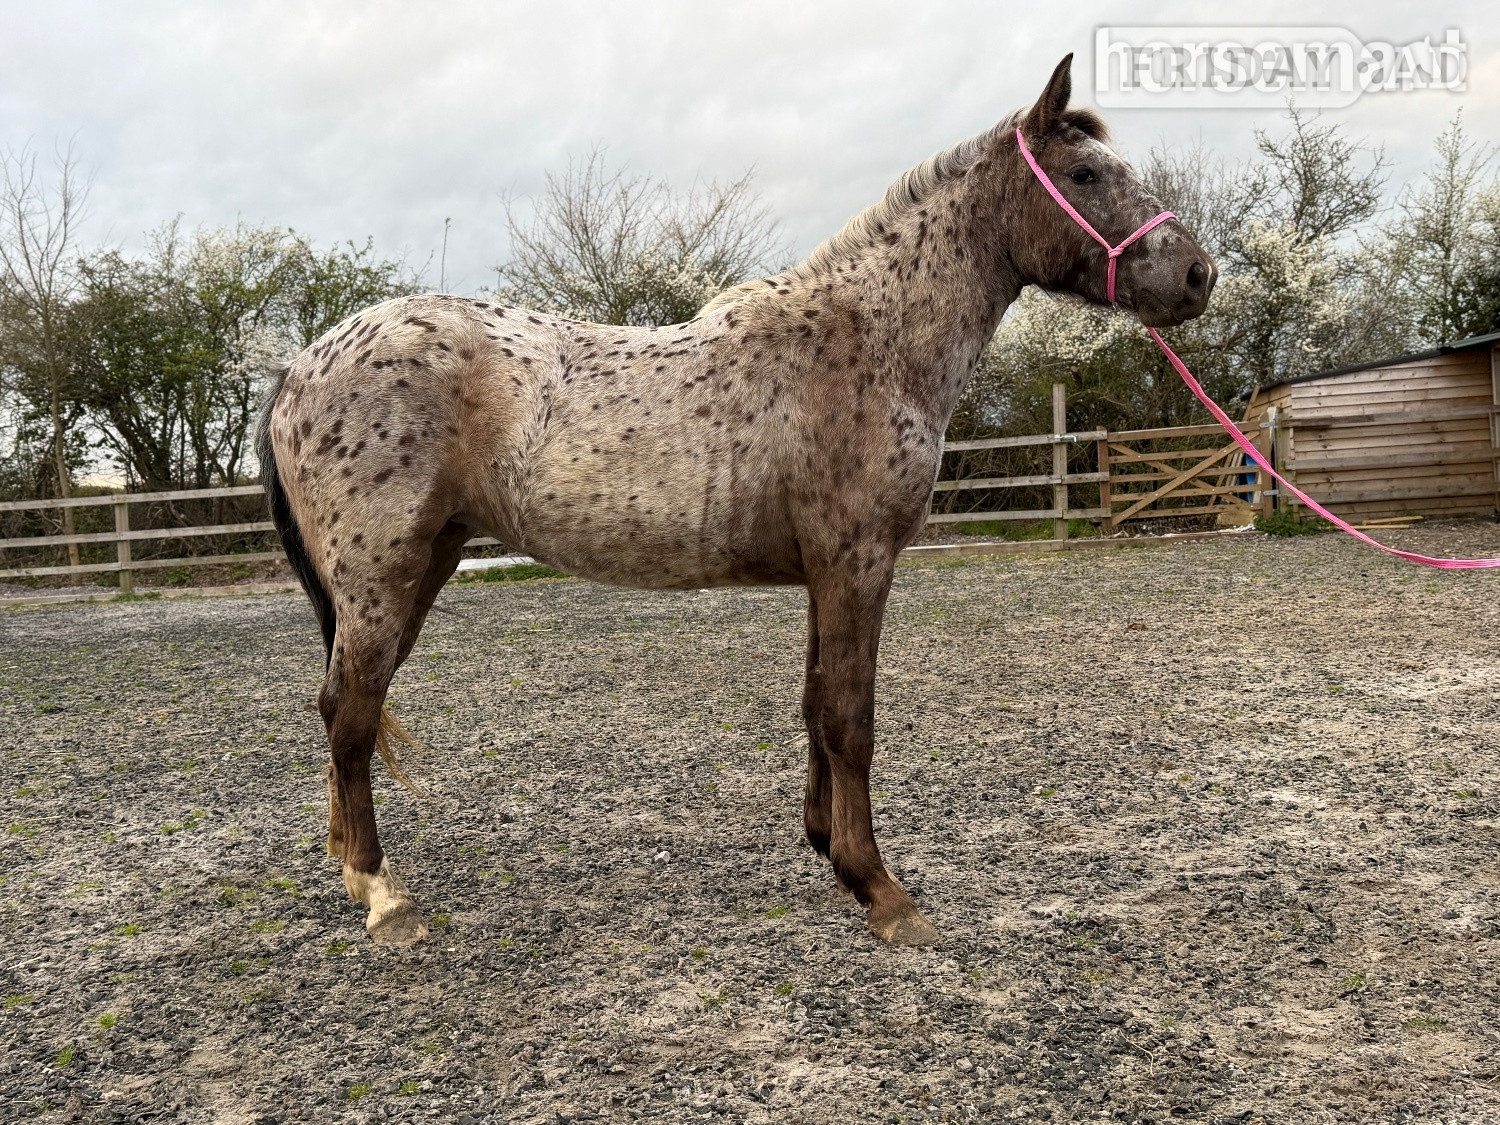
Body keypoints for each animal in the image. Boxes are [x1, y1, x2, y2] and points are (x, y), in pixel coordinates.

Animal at [257, 54, 1215, 947]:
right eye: (1085, 175)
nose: (1198, 275)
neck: (870, 341)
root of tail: (300, 364)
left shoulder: (826, 574)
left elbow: (816, 706)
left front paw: (831, 849)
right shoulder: (857, 564)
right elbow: (851, 718)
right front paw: (883, 891)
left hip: (423, 566)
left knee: (346, 708)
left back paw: (355, 871)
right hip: (382, 579)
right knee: (349, 713)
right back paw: (384, 895)